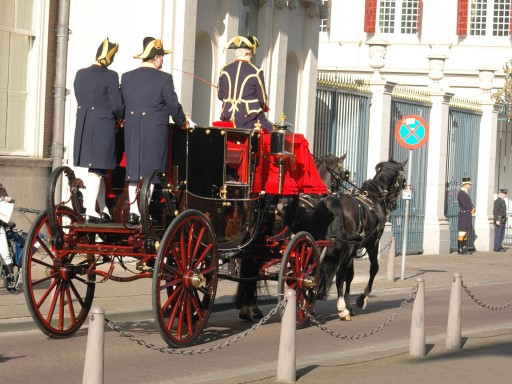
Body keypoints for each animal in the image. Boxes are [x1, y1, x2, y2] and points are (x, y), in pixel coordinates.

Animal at [310, 158, 406, 320]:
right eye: (403, 181)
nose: (394, 204)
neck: (373, 198)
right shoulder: (372, 244)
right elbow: (374, 268)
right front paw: (361, 299)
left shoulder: (355, 247)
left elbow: (350, 275)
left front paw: (349, 305)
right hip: (345, 247)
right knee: (339, 274)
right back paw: (341, 309)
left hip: (320, 243)